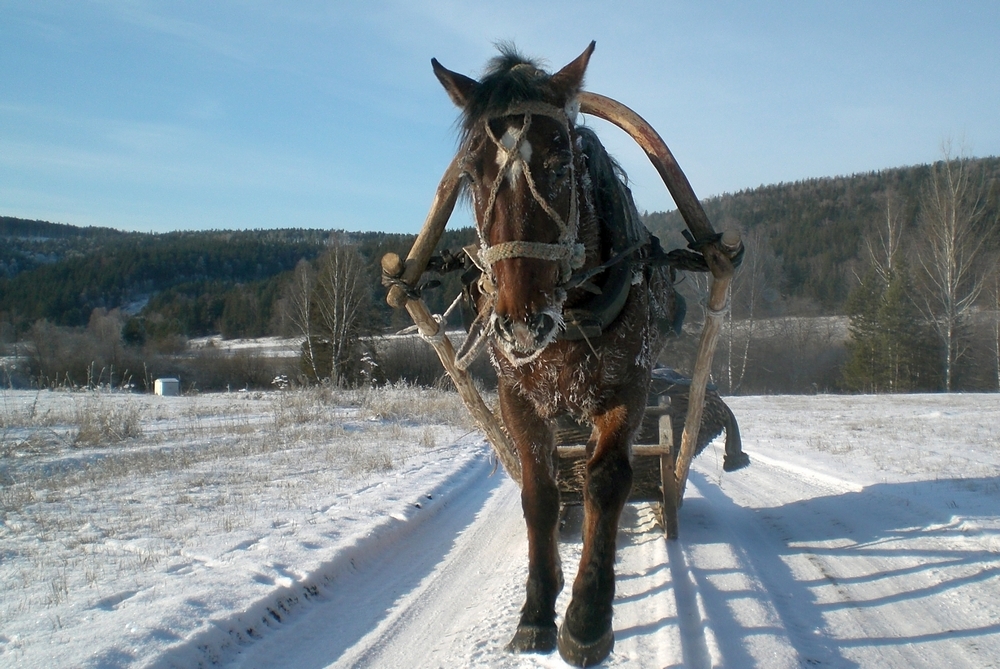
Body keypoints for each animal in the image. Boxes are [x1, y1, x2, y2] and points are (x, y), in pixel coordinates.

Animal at [430, 40, 680, 664]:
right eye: (471, 172)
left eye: (561, 162)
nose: (521, 322)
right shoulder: (516, 395)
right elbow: (538, 493)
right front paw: (538, 608)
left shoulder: (627, 386)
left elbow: (605, 482)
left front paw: (588, 615)